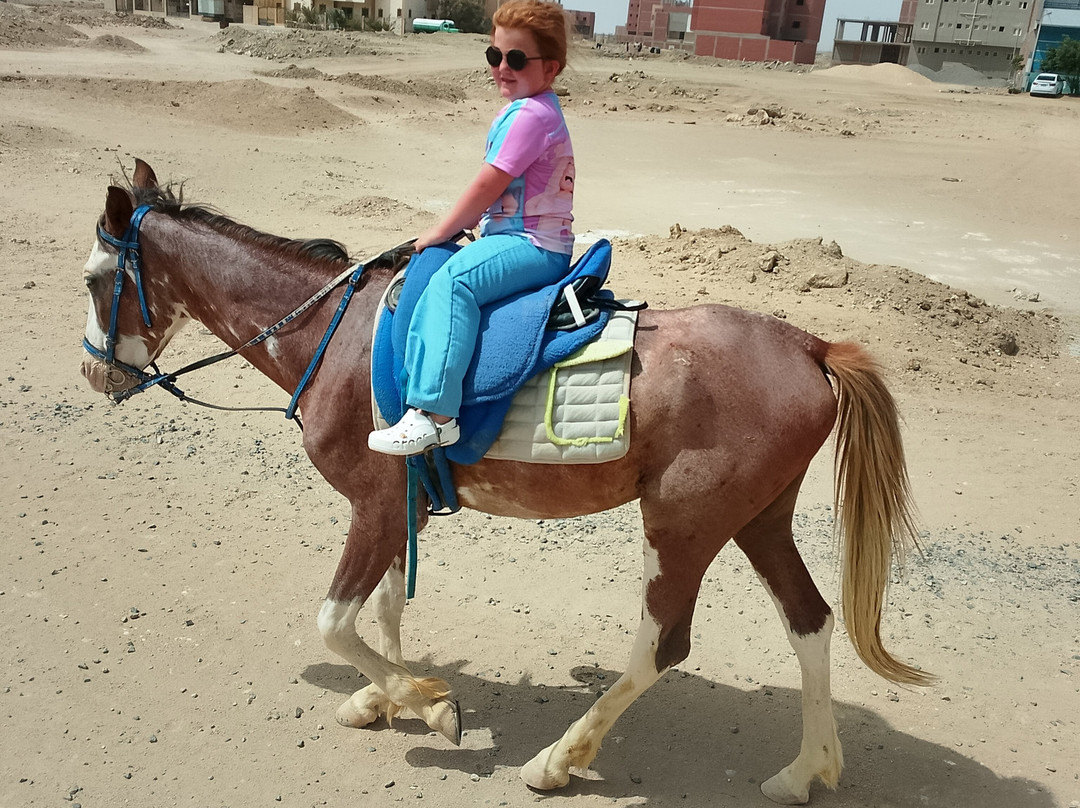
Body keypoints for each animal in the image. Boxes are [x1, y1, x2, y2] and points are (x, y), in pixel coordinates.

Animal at [79, 159, 931, 805]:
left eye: (94, 280)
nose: (94, 371)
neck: (337, 337)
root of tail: (811, 345)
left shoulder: (374, 506)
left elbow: (334, 622)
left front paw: (429, 704)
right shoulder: (402, 509)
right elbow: (383, 608)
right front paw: (388, 696)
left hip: (684, 524)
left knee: (664, 644)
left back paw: (558, 760)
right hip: (758, 518)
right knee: (809, 622)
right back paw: (805, 770)